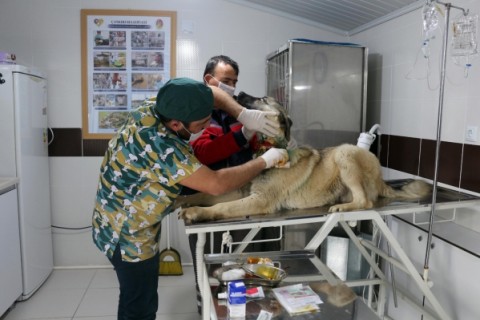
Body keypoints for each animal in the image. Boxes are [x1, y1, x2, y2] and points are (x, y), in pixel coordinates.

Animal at [178, 92, 434, 222]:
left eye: (263, 99)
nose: (238, 92)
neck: (268, 147)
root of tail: (381, 180)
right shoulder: (242, 191)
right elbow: (206, 194)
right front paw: (183, 201)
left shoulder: (260, 200)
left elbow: (223, 206)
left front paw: (196, 212)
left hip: (346, 152)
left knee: (365, 201)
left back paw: (343, 208)